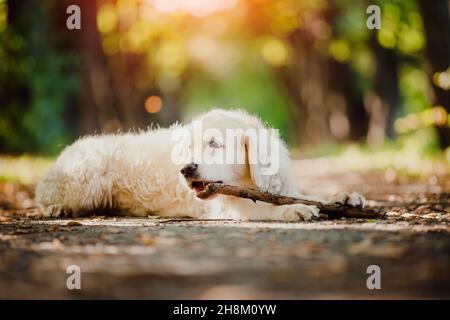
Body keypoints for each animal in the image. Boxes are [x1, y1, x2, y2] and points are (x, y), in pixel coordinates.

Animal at [37, 109, 364, 221]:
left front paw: (343, 197)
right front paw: (291, 210)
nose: (185, 170)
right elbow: (264, 210)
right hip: (86, 173)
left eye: (215, 144)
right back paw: (56, 208)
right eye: (190, 147)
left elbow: (308, 195)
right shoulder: (228, 206)